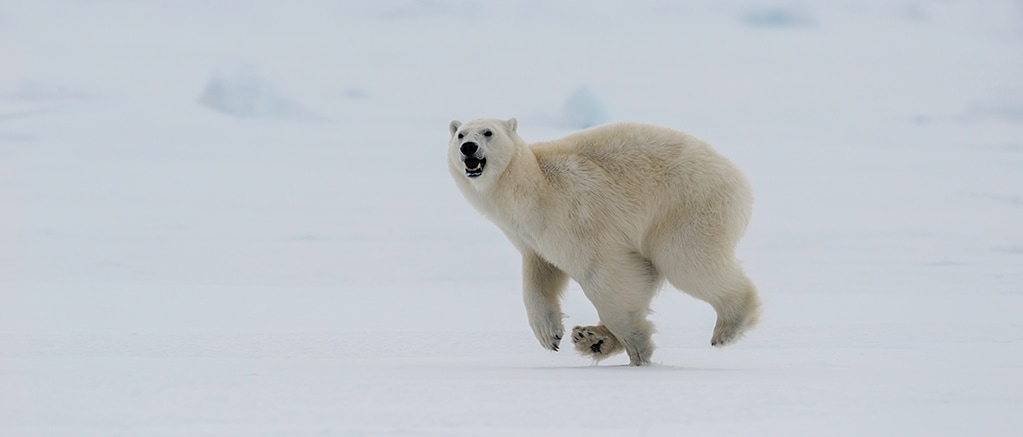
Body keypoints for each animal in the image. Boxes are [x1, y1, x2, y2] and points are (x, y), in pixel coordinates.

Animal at [448, 117, 761, 366]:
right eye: (460, 134)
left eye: (488, 132)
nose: (469, 148)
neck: (531, 189)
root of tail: (739, 178)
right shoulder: (530, 239)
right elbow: (541, 277)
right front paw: (549, 334)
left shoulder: (575, 215)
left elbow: (605, 274)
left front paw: (638, 348)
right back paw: (591, 338)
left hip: (685, 207)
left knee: (686, 261)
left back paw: (727, 327)